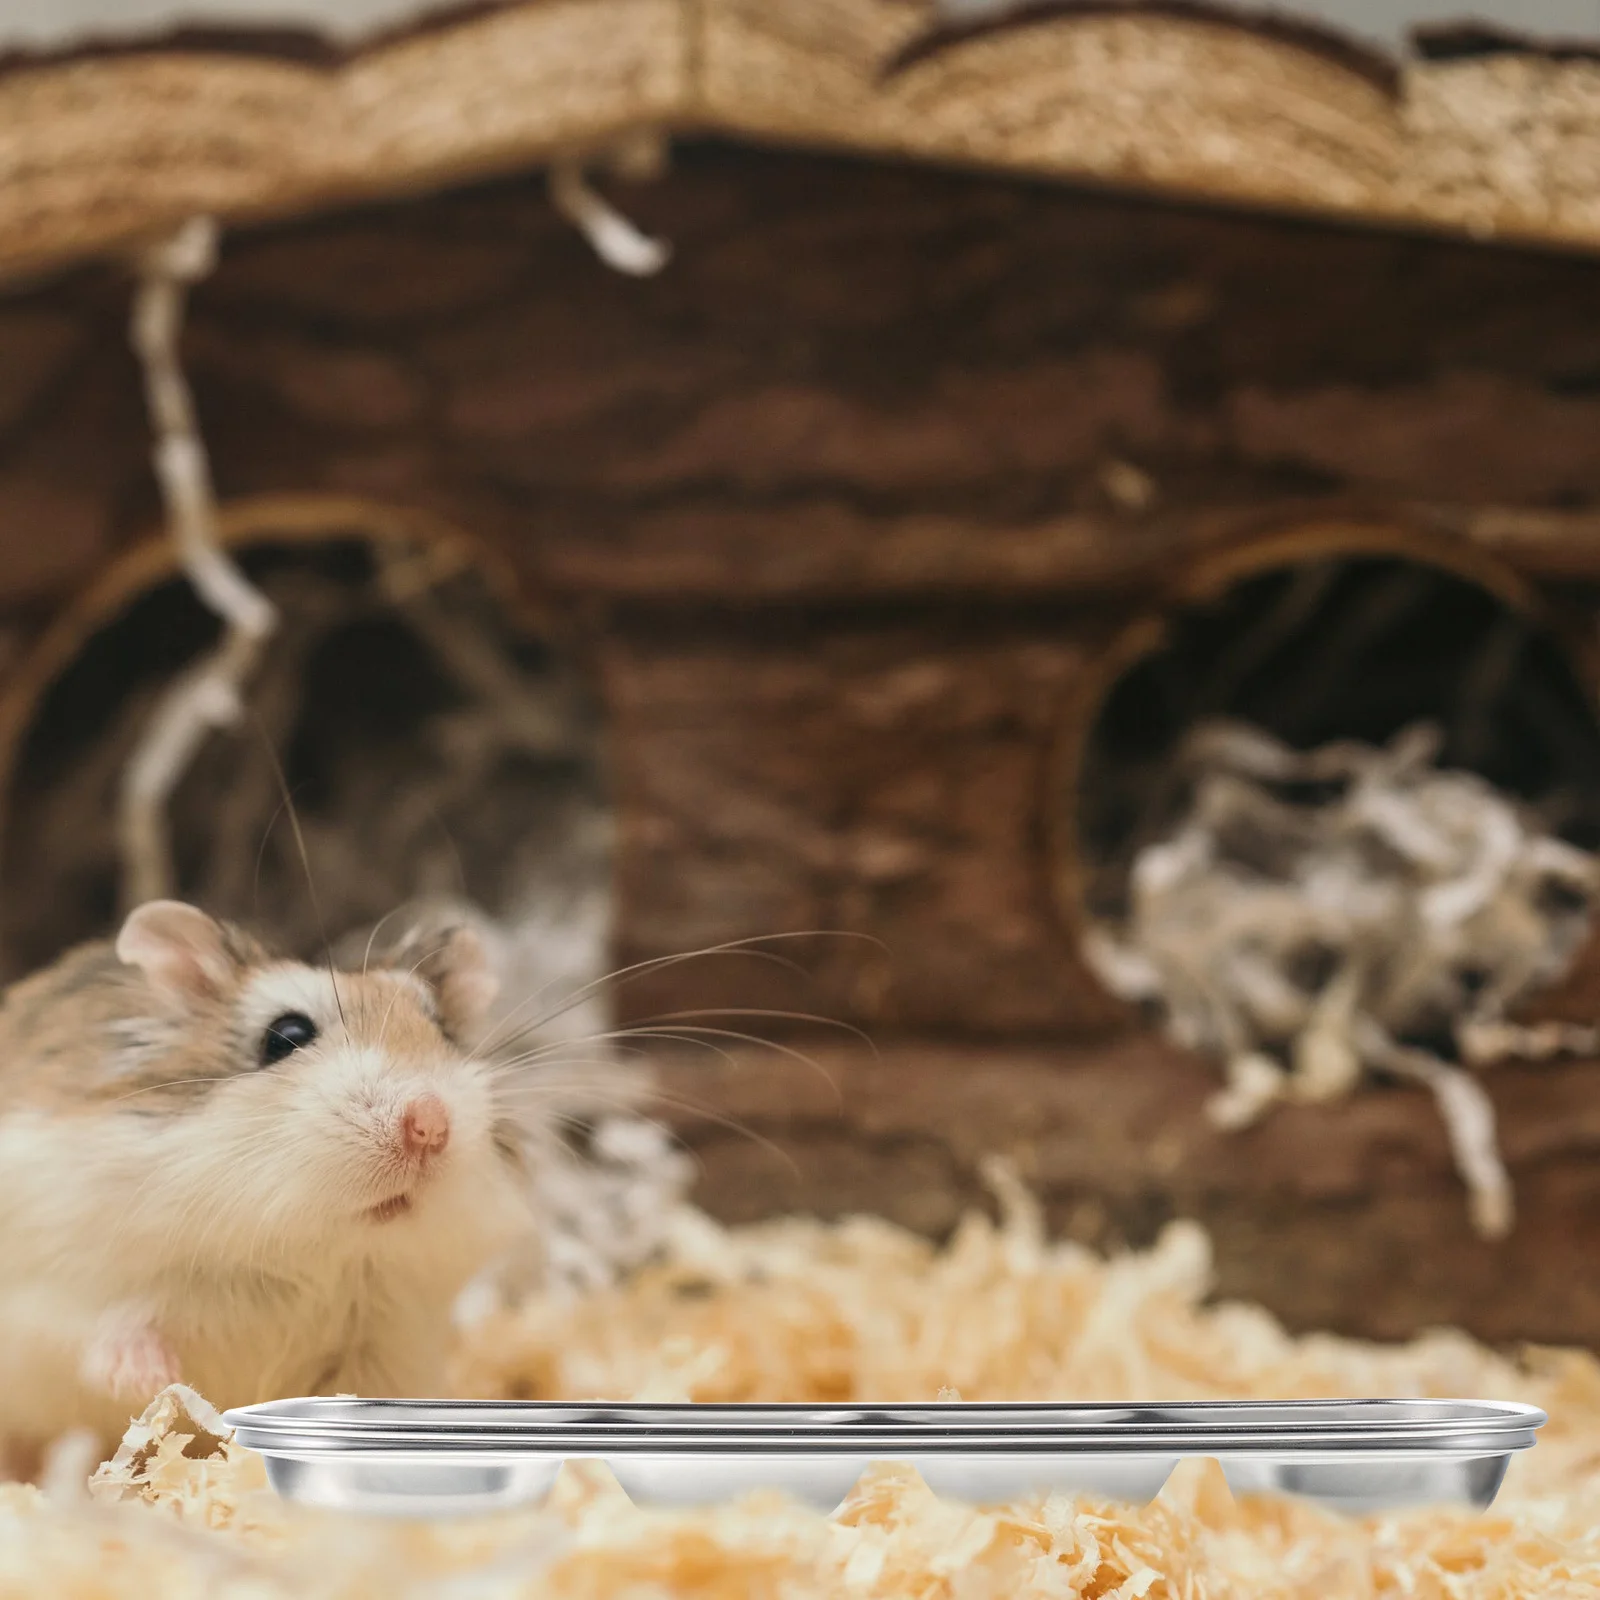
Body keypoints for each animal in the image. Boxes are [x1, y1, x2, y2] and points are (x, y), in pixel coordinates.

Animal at [0, 899, 541, 1465]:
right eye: (287, 1036)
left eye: (444, 1033)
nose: (430, 1125)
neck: (306, 1253)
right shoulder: (54, 1288)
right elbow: (103, 1331)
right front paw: (153, 1379)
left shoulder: (383, 1345)